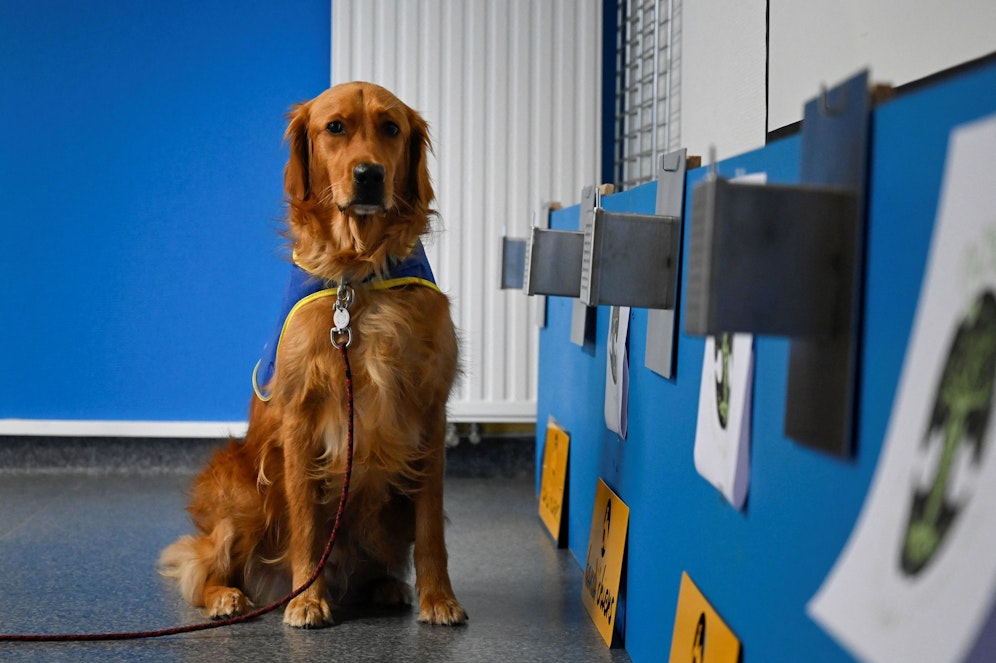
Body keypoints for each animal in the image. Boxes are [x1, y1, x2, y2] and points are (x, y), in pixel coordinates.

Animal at [162, 81, 466, 628]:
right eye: (335, 127)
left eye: (391, 128)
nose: (370, 175)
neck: (357, 274)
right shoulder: (301, 416)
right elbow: (306, 518)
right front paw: (307, 599)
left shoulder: (430, 415)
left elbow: (431, 526)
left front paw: (439, 598)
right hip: (241, 489)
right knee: (205, 564)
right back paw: (228, 597)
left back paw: (387, 587)